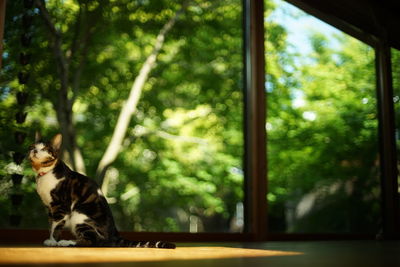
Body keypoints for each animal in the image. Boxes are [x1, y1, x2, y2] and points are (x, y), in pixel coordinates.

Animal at [28, 134, 176, 249]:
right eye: (32, 146)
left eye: (45, 148)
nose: (34, 150)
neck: (44, 174)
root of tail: (115, 233)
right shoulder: (49, 207)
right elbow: (50, 224)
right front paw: (52, 239)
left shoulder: (60, 206)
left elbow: (55, 226)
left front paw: (53, 241)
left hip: (79, 214)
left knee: (92, 241)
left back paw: (66, 242)